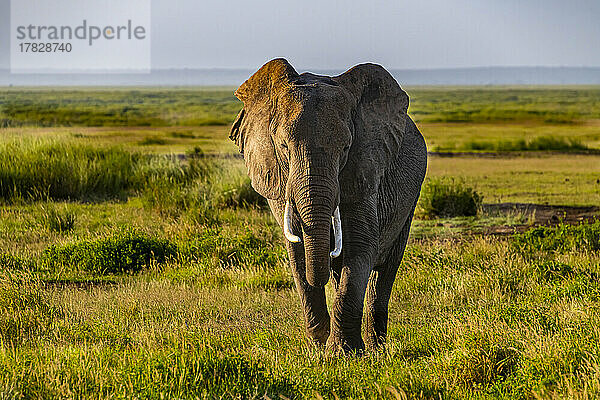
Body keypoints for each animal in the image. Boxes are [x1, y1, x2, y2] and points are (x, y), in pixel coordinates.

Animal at [229, 58, 426, 354]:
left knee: (384, 272)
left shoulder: (364, 170)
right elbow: (298, 252)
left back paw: (377, 349)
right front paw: (318, 347)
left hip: (410, 200)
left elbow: (360, 245)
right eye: (284, 147)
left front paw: (344, 352)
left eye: (345, 148)